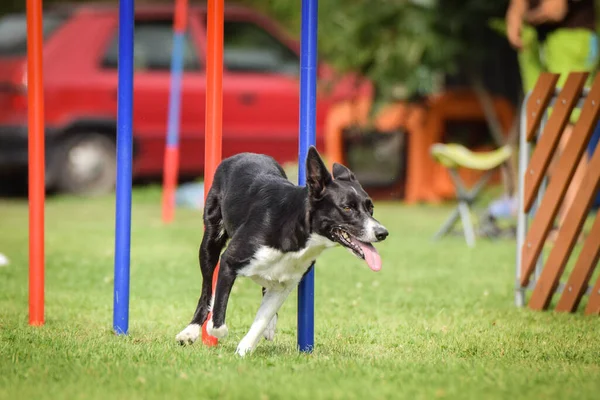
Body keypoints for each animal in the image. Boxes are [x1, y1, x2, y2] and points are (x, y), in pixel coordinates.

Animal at [176, 147, 390, 356]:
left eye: (370, 208)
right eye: (347, 208)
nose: (382, 233)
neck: (296, 228)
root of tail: (245, 154)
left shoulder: (287, 283)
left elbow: (262, 319)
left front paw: (245, 348)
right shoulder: (229, 260)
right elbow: (218, 320)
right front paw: (215, 328)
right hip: (210, 242)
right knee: (206, 289)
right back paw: (190, 331)